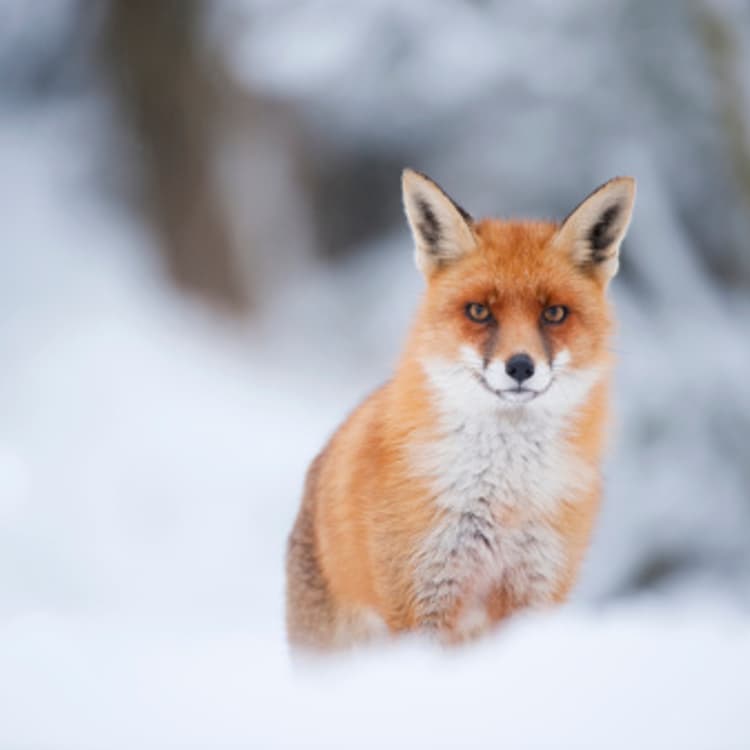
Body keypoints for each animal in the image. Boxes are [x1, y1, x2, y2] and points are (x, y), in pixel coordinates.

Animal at [286, 169, 636, 650]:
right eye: (479, 311)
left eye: (554, 313)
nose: (520, 366)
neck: (505, 493)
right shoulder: (424, 593)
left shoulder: (535, 584)